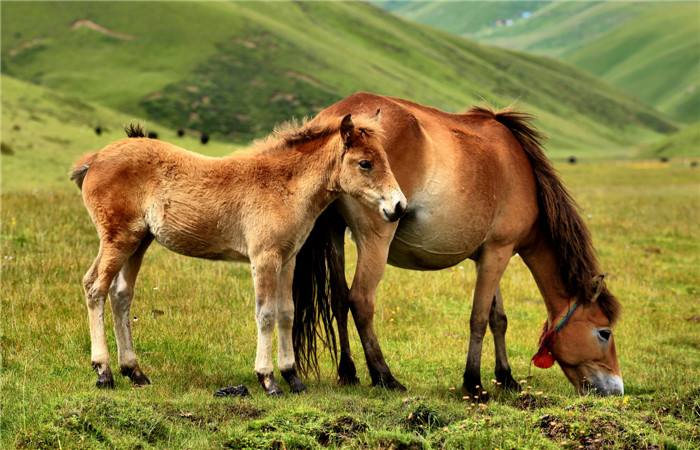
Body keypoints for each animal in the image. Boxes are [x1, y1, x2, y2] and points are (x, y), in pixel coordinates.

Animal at [70, 114, 404, 396]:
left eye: (386, 159)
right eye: (365, 163)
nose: (398, 206)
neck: (283, 185)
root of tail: (94, 160)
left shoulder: (288, 260)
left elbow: (286, 312)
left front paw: (293, 377)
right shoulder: (264, 258)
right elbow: (266, 314)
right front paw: (268, 380)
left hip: (139, 241)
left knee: (121, 295)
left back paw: (135, 372)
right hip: (118, 239)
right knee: (95, 287)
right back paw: (104, 372)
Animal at [292, 91, 624, 398]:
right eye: (604, 333)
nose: (617, 389)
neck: (521, 172)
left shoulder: (489, 254)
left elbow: (498, 318)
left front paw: (506, 377)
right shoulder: (499, 252)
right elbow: (479, 318)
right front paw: (474, 383)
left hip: (334, 234)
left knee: (338, 300)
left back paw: (348, 372)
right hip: (376, 238)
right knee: (360, 300)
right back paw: (384, 376)